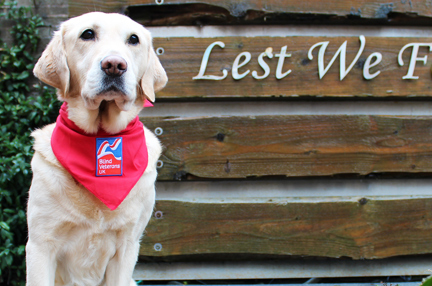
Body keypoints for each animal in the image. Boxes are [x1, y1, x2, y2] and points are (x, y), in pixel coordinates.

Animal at [25, 12, 167, 284]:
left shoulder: (128, 246)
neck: (99, 135)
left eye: (134, 39)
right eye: (87, 34)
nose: (114, 65)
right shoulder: (40, 244)